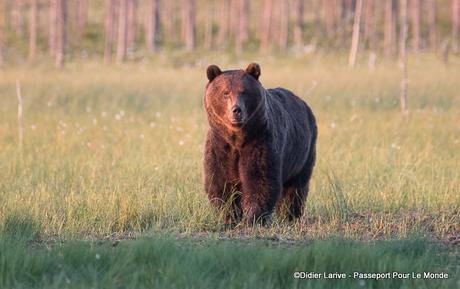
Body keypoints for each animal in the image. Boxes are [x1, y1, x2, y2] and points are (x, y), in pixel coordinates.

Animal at [204, 63, 316, 224]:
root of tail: (304, 104)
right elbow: (221, 180)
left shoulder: (260, 140)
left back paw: (289, 215)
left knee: (295, 187)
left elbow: (259, 179)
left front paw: (252, 217)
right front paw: (229, 216)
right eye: (225, 93)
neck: (238, 138)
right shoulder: (220, 145)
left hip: (303, 153)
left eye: (244, 91)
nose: (236, 110)